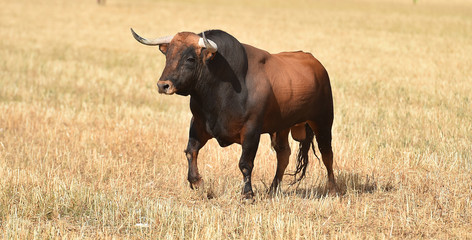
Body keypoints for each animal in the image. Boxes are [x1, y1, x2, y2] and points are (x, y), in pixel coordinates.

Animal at [130, 28, 336, 198]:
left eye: (190, 59)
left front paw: (247, 194)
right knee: (283, 154)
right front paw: (197, 182)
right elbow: (190, 151)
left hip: (323, 121)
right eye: (168, 55)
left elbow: (245, 163)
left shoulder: (251, 130)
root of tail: (316, 63)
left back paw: (332, 189)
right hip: (282, 127)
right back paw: (272, 189)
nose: (163, 85)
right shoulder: (198, 124)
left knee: (327, 153)